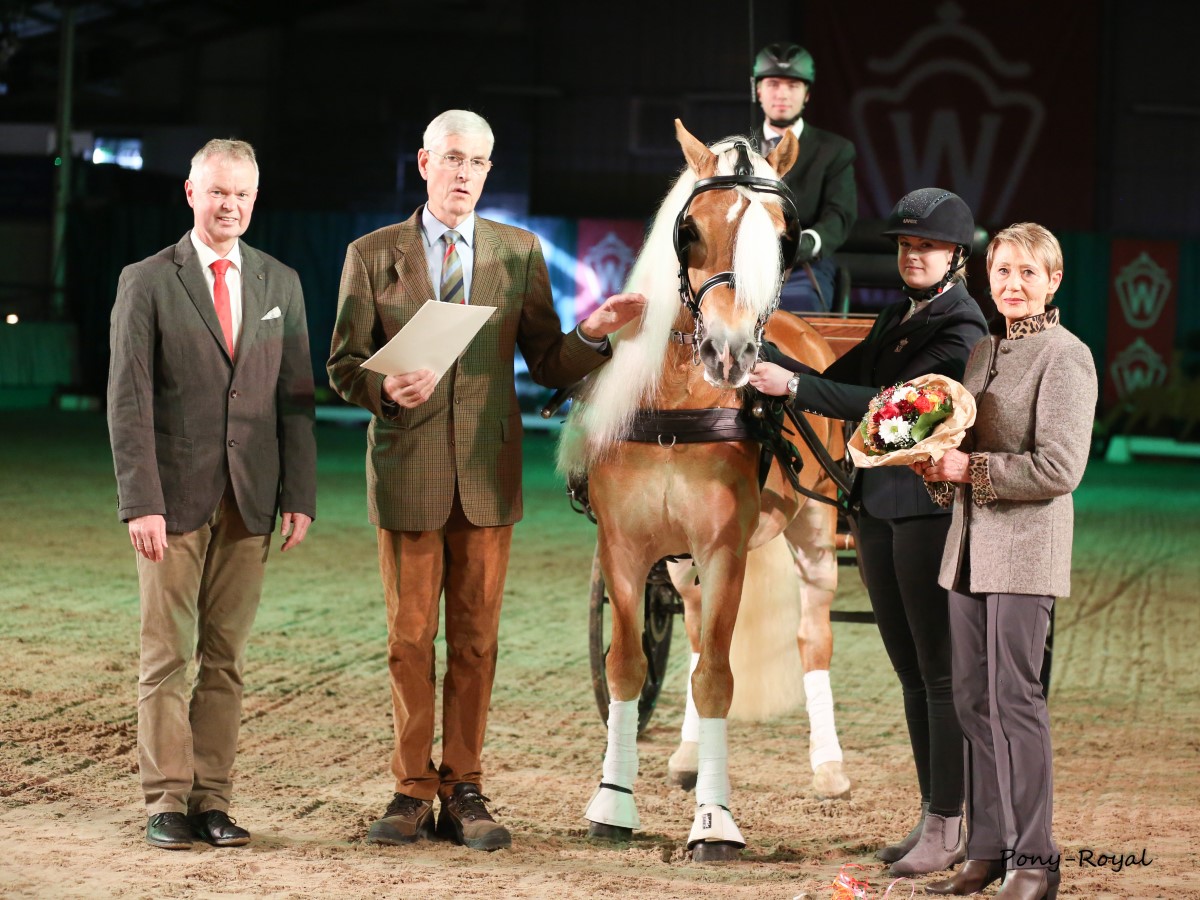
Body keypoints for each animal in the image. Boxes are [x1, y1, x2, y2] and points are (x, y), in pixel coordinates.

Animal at [554, 120, 844, 859]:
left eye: (784, 239)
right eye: (688, 231)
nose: (730, 353)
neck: (677, 410)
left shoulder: (723, 549)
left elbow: (718, 675)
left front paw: (715, 820)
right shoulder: (627, 549)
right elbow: (629, 666)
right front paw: (613, 802)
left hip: (813, 534)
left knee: (812, 635)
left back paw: (829, 766)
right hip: (681, 564)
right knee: (686, 636)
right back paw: (686, 757)